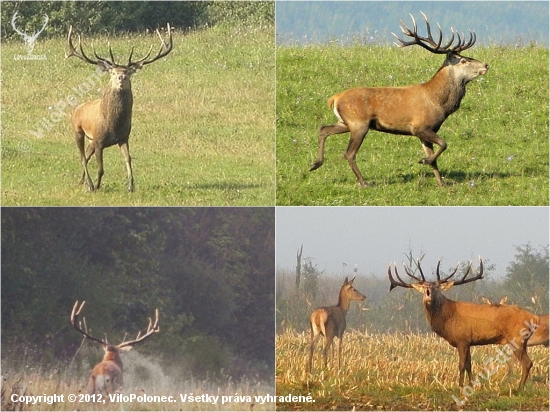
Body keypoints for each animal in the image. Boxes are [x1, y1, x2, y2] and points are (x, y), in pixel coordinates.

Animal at [66, 25, 172, 192]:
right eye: (113, 72)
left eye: (128, 72)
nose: (121, 77)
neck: (113, 125)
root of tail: (77, 109)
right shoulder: (99, 140)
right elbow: (101, 168)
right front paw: (97, 186)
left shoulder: (124, 137)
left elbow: (128, 159)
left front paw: (131, 186)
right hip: (78, 131)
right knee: (82, 158)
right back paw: (89, 184)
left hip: (90, 140)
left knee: (86, 157)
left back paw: (81, 181)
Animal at [310, 12, 492, 187]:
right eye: (463, 60)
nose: (486, 65)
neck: (440, 103)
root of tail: (334, 98)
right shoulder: (420, 126)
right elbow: (444, 144)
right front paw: (424, 160)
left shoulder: (426, 131)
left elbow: (435, 157)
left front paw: (441, 182)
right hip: (358, 123)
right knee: (349, 153)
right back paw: (363, 182)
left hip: (345, 122)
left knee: (323, 128)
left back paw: (315, 163)